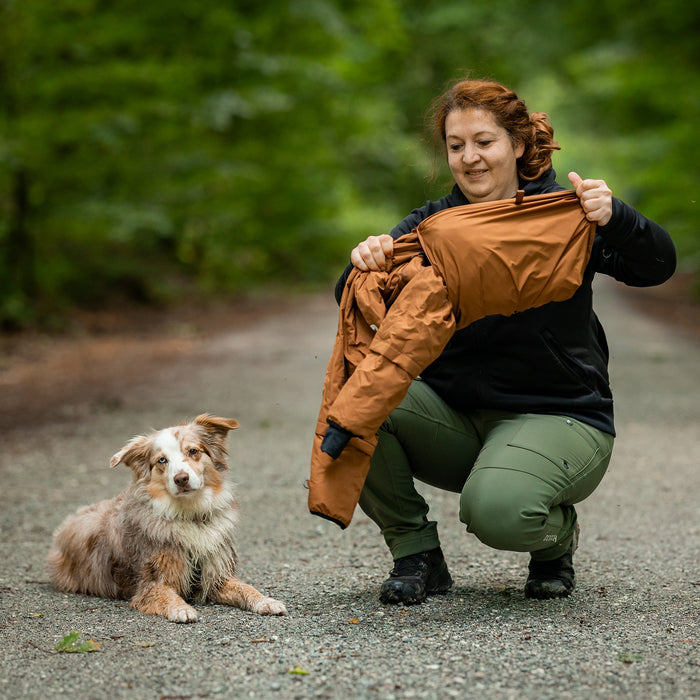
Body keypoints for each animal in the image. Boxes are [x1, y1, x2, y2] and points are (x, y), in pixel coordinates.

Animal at [47, 412, 288, 620]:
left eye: (193, 451)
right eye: (162, 460)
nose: (181, 478)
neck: (191, 516)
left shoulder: (217, 576)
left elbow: (246, 587)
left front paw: (266, 601)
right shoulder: (151, 583)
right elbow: (164, 595)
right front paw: (181, 608)